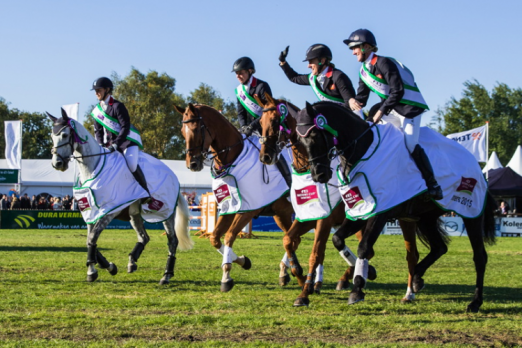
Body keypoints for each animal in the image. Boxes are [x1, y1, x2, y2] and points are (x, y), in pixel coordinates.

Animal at [176, 102, 292, 290]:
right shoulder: (228, 208)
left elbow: (229, 236)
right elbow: (215, 238)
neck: (233, 158)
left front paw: (226, 276)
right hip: (281, 214)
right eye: (182, 131)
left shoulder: (248, 210)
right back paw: (284, 272)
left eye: (196, 129)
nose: (192, 164)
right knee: (292, 237)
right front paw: (242, 261)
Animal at [256, 94, 422, 306]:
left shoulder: (324, 220)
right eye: (260, 122)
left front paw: (305, 290)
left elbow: (316, 253)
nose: (265, 156)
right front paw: (299, 275)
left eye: (276, 121)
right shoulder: (307, 217)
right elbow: (289, 240)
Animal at [294, 100, 494, 312]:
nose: (318, 175)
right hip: (426, 218)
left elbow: (364, 247)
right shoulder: (359, 212)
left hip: (471, 214)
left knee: (479, 257)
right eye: (299, 140)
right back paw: (417, 280)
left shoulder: (380, 213)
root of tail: (476, 165)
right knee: (439, 248)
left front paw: (358, 287)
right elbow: (338, 239)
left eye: (315, 136)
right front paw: (367, 273)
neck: (362, 151)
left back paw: (475, 301)